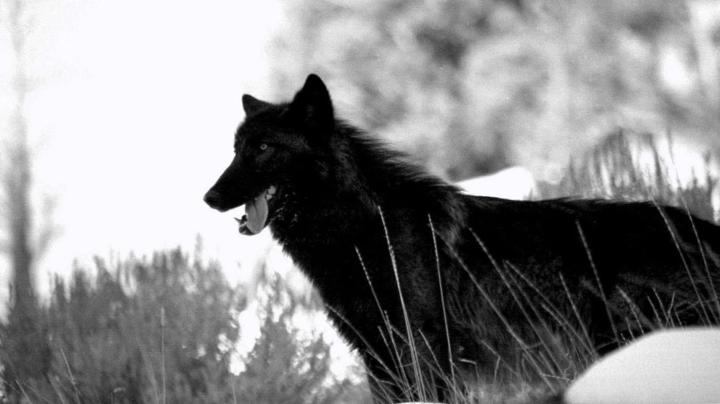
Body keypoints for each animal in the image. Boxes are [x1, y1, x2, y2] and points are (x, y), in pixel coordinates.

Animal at [204, 74, 720, 402]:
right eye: (235, 149)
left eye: (263, 148)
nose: (208, 197)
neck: (366, 229)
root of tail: (697, 227)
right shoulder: (379, 358)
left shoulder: (421, 353)